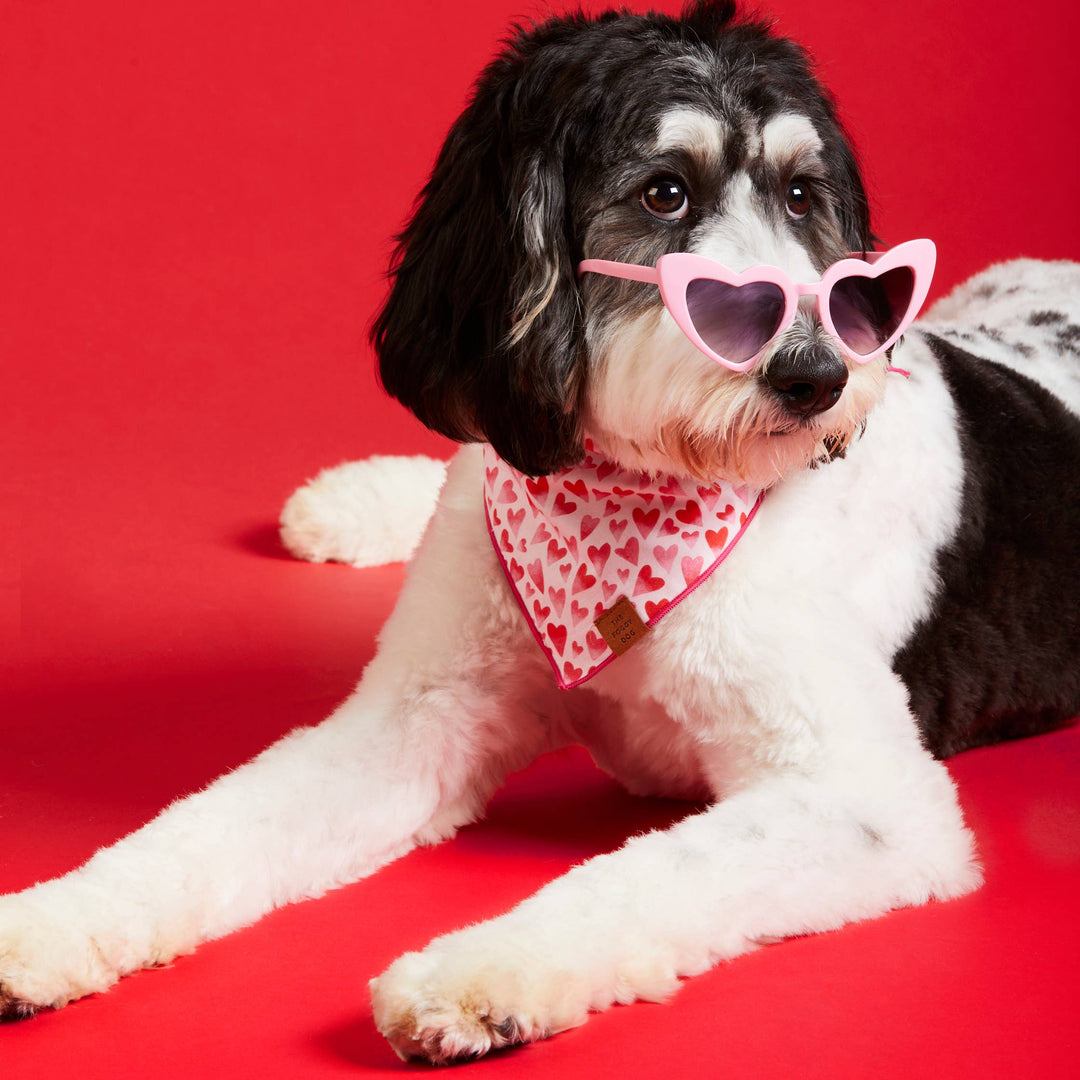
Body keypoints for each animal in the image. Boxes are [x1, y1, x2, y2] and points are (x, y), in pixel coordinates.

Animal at [2, 0, 1080, 1062]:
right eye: (663, 194)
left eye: (804, 195)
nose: (818, 375)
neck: (638, 494)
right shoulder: (420, 716)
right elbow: (205, 825)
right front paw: (48, 922)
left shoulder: (864, 799)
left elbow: (643, 878)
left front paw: (478, 972)